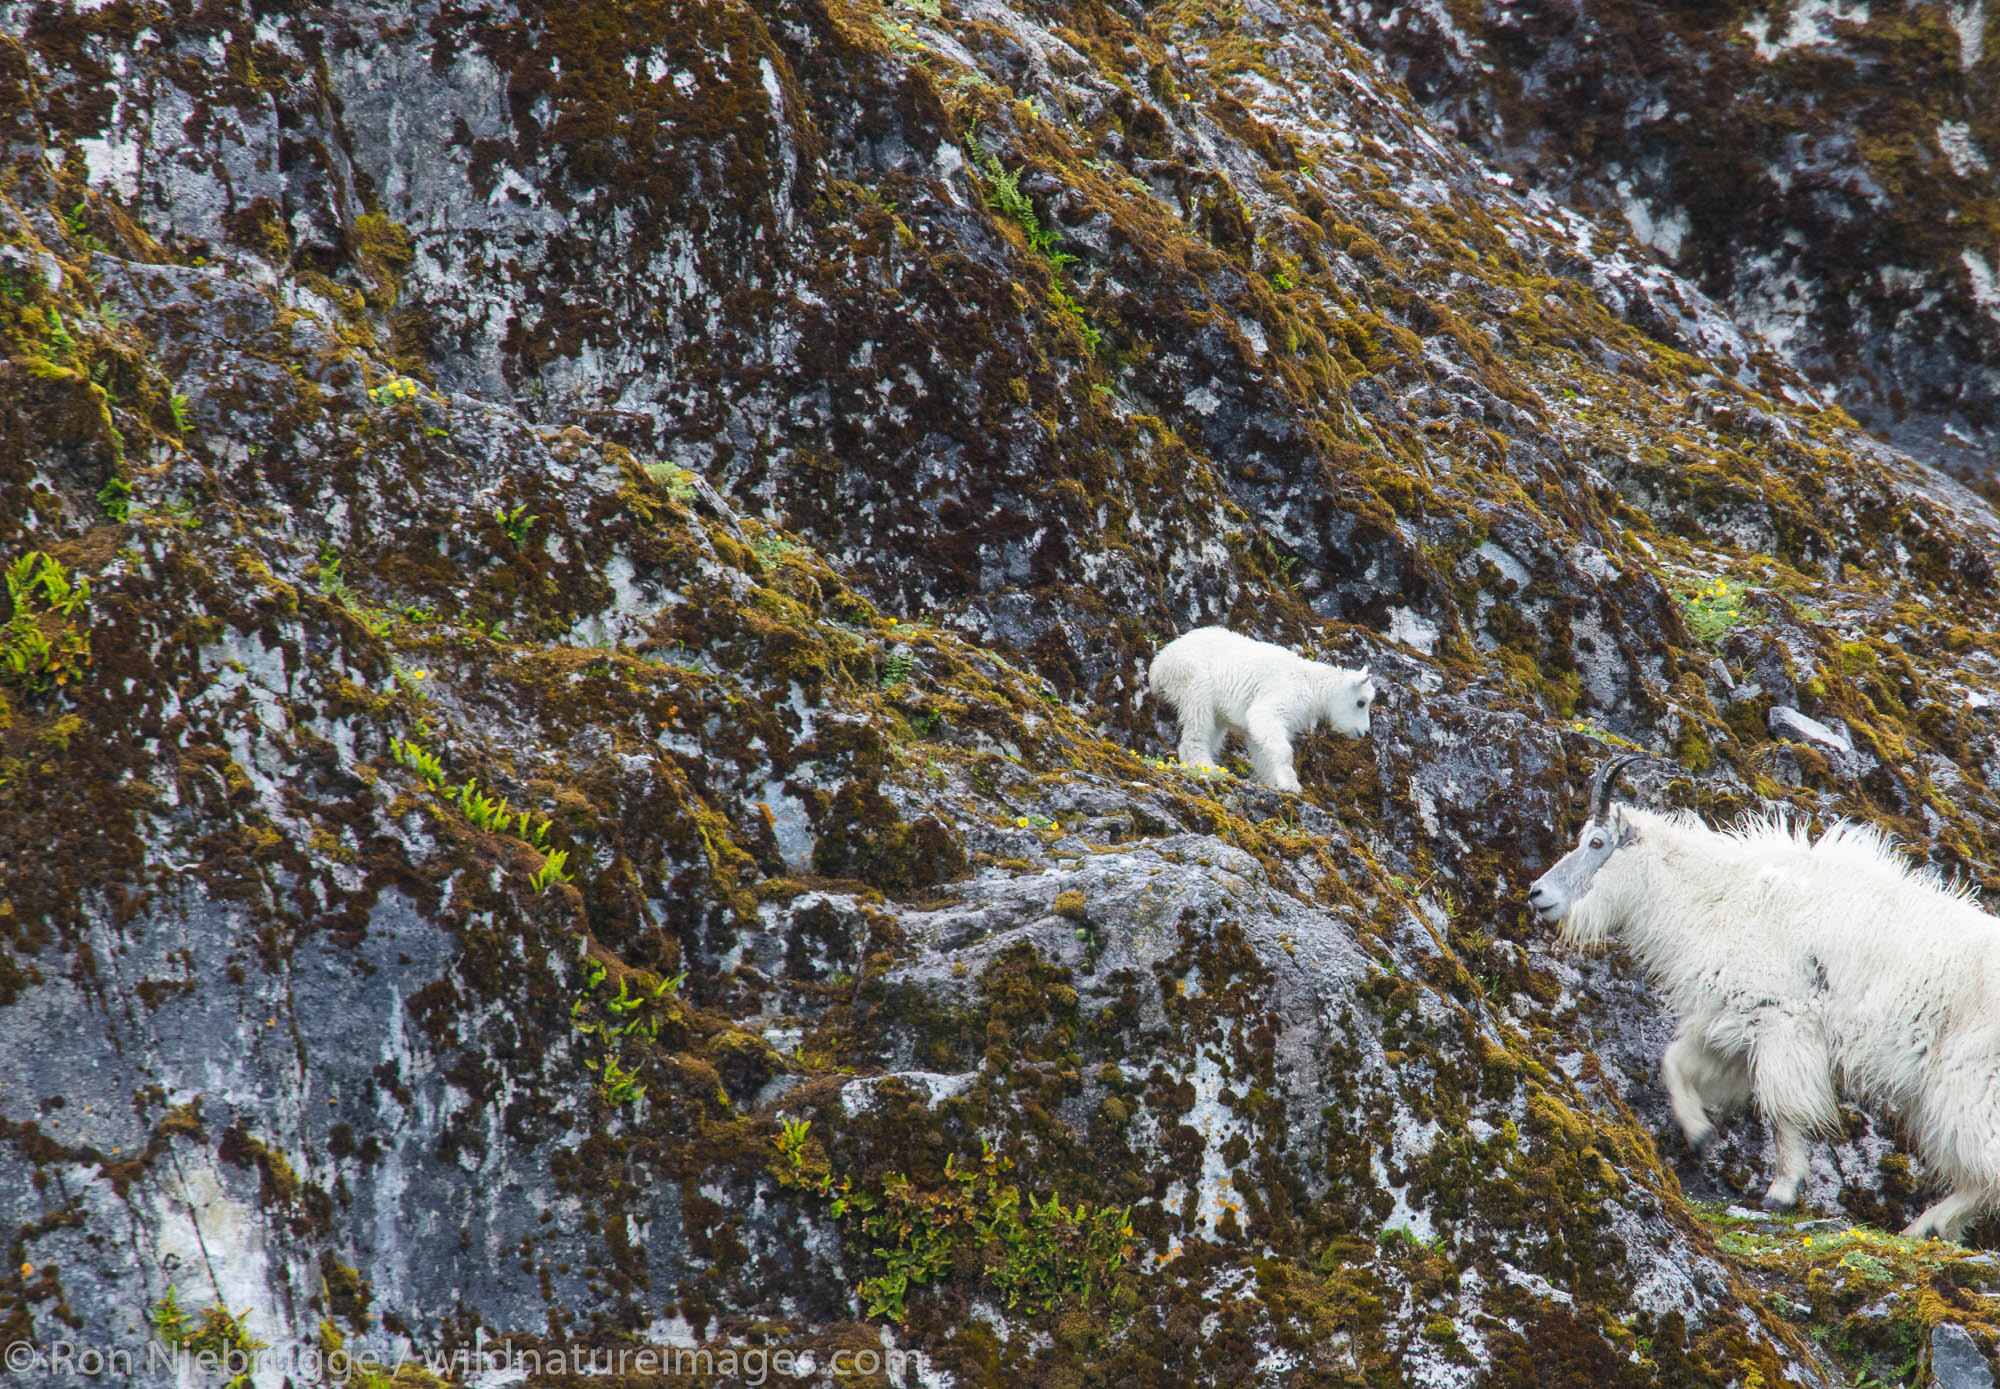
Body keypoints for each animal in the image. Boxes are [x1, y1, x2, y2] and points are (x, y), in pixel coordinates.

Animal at [1528, 756, 2000, 1248]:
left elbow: (1782, 1112)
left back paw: (1927, 1224)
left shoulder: (1783, 1022)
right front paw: (1700, 1134)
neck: (1714, 900)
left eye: (1596, 842)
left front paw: (1780, 1192)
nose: (1536, 893)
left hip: (1970, 1082)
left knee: (1986, 1168)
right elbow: (1674, 1063)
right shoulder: (1734, 1024)